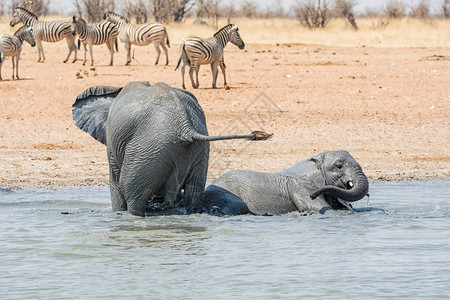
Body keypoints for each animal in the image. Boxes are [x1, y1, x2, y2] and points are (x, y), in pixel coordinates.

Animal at [73, 81, 270, 217]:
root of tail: (185, 126)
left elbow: (115, 182)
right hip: (197, 151)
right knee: (193, 194)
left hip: (148, 148)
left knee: (131, 193)